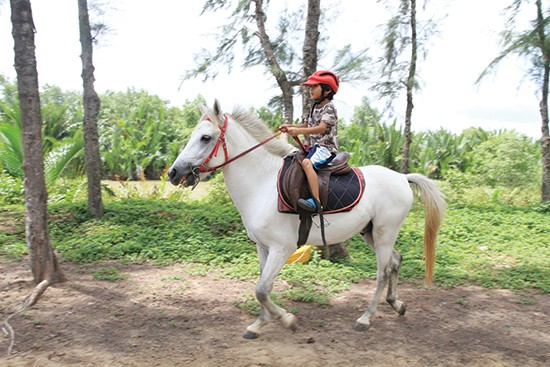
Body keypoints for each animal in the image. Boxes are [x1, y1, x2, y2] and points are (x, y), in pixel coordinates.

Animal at [166, 100, 446, 340]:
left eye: (205, 137)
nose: (173, 172)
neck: (263, 183)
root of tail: (402, 177)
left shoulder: (282, 248)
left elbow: (262, 290)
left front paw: (287, 320)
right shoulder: (263, 247)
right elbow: (262, 287)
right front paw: (259, 324)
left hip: (384, 233)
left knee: (382, 273)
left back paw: (365, 318)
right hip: (370, 233)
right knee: (395, 261)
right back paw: (396, 304)